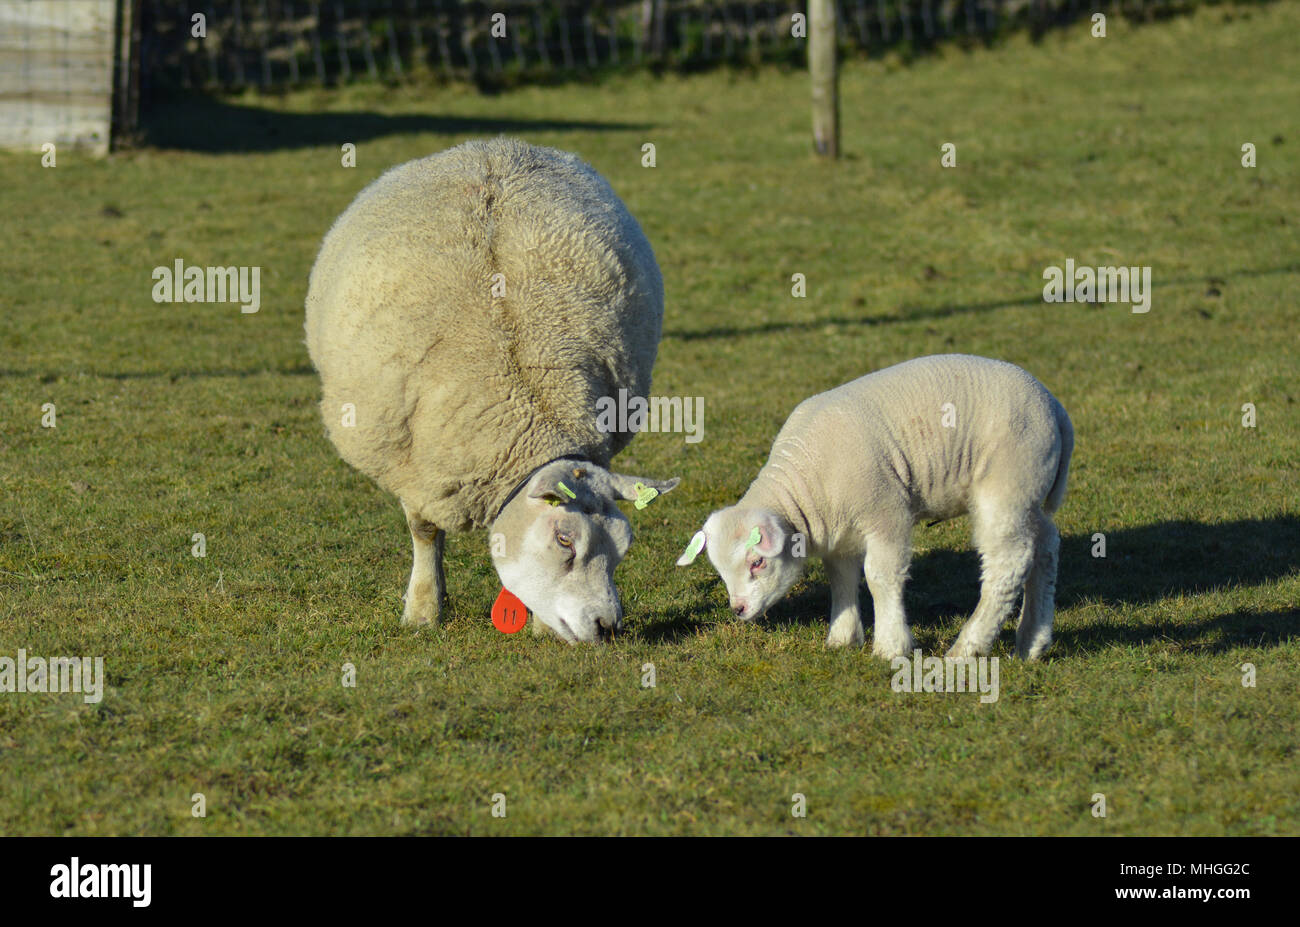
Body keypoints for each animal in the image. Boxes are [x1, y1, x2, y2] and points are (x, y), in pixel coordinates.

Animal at [299, 139, 676, 644]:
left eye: (624, 546)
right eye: (564, 540)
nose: (607, 625)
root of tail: (491, 147)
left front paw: (539, 624)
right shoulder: (415, 458)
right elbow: (424, 532)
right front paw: (423, 609)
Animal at [676, 353, 1071, 657]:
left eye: (757, 562)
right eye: (719, 569)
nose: (739, 610)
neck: (805, 485)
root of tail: (1053, 404)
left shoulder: (886, 512)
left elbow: (880, 576)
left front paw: (890, 646)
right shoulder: (838, 528)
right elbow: (841, 577)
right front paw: (842, 638)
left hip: (1007, 484)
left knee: (1009, 562)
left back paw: (968, 648)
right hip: (1030, 492)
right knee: (1046, 547)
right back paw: (1032, 642)